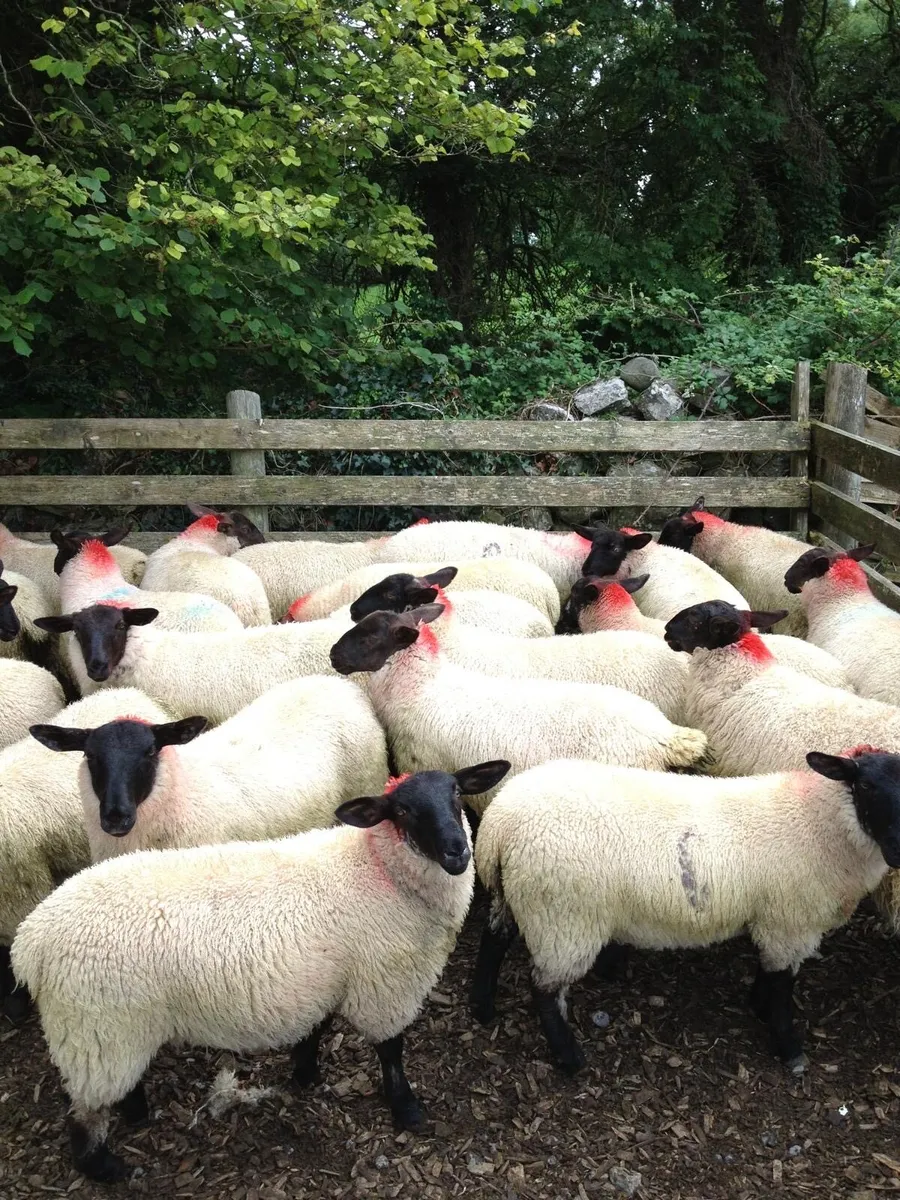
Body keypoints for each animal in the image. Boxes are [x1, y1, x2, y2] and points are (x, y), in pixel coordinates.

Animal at [11, 760, 511, 1181]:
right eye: (402, 810)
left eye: (455, 793)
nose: (457, 851)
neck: (376, 869)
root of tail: (31, 940)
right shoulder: (384, 986)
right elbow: (391, 1051)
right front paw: (407, 1109)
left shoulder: (323, 979)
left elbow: (316, 1029)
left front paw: (306, 1075)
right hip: (96, 1030)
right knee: (84, 1111)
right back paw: (108, 1168)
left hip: (111, 1031)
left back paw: (136, 1112)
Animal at [470, 749, 900, 1075]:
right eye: (865, 786)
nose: (898, 850)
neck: (818, 821)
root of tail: (499, 824)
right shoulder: (790, 921)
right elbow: (782, 985)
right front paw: (788, 1047)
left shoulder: (774, 919)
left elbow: (769, 973)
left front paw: (758, 1007)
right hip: (564, 916)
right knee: (544, 988)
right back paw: (569, 1058)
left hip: (519, 895)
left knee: (492, 942)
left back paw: (483, 1009)